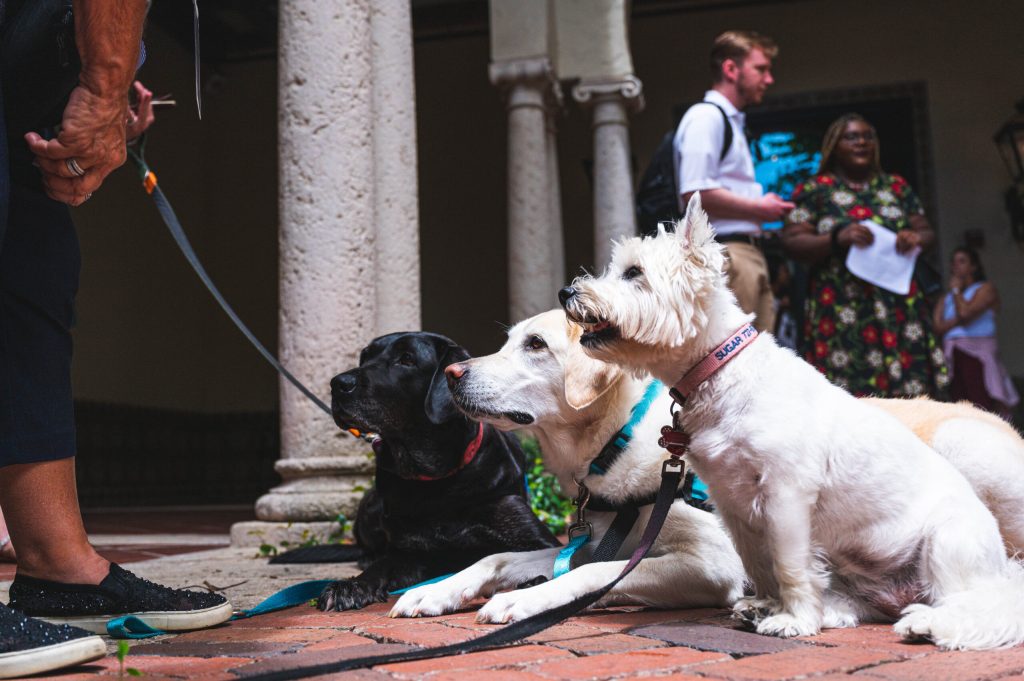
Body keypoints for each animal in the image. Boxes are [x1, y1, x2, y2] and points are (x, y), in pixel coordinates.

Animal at [385, 309, 745, 622]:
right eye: (507, 342)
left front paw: (523, 598)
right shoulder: (595, 544)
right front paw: (435, 591)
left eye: (535, 343)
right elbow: (495, 557)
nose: (452, 373)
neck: (617, 439)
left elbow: (595, 571)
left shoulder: (713, 563)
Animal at [561, 193, 1024, 651]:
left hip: (949, 541)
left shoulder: (786, 491)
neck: (718, 371)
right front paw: (766, 605)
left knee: (980, 602)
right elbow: (758, 561)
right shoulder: (730, 499)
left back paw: (929, 623)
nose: (567, 291)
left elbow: (787, 562)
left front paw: (793, 621)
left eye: (633, 272)